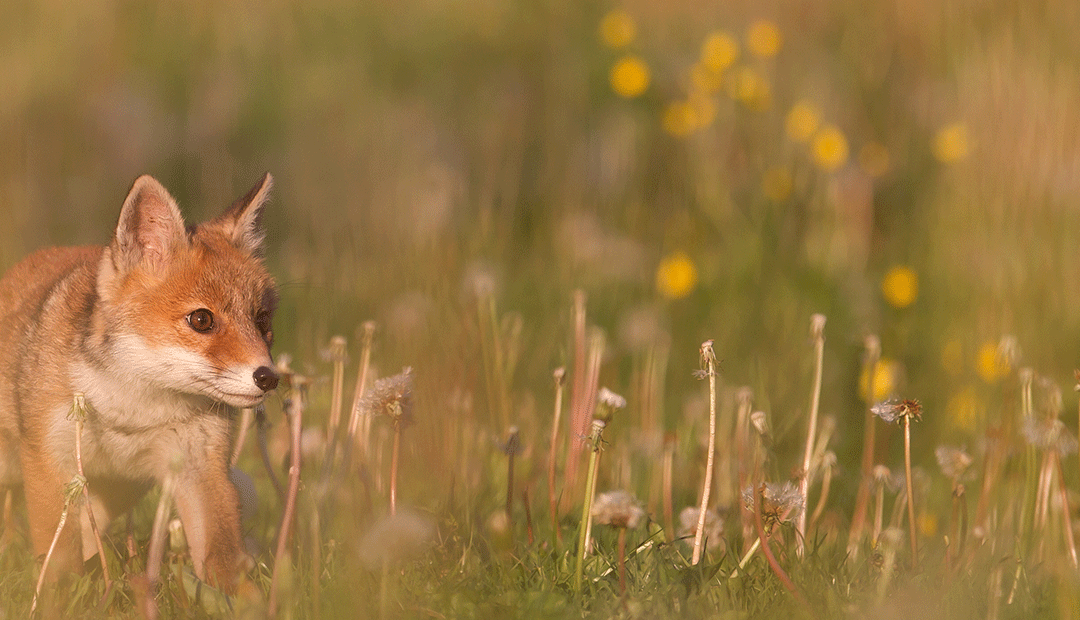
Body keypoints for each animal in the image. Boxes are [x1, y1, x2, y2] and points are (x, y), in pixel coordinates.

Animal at [0, 173, 282, 591]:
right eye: (202, 320)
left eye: (262, 321)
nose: (268, 377)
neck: (134, 408)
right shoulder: (49, 461)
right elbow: (60, 562)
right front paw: (55, 599)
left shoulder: (201, 466)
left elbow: (223, 563)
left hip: (120, 490)